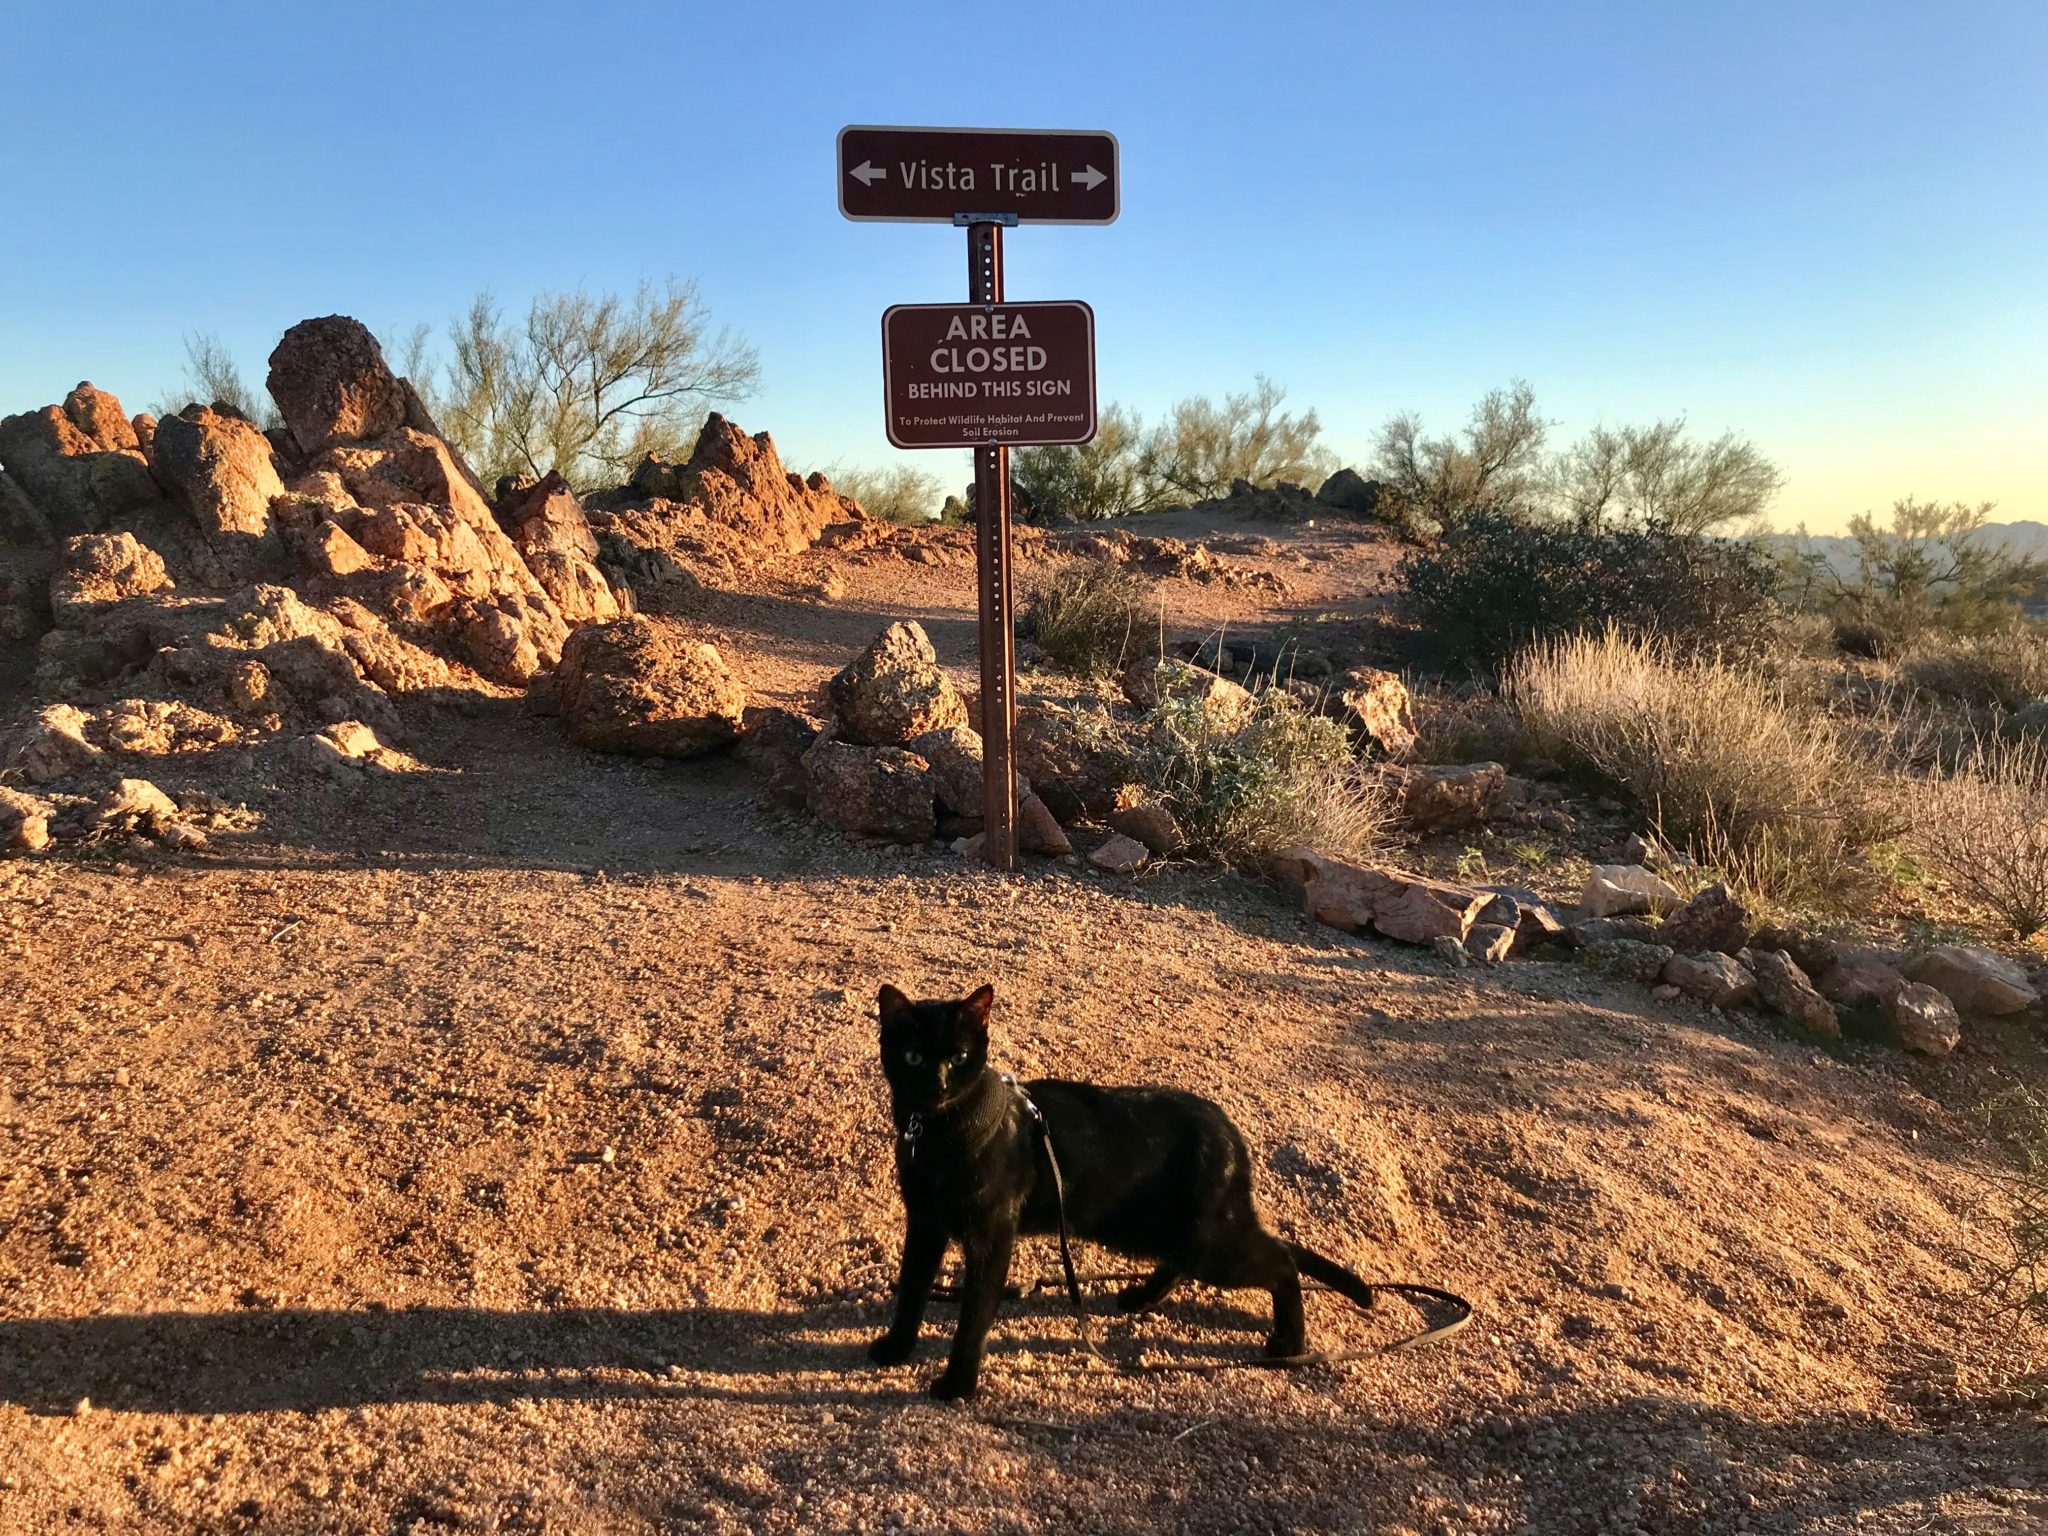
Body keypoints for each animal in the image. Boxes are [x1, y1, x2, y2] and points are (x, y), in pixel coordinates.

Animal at [868, 987, 1376, 1409]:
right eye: (913, 1056)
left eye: (959, 1058)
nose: (936, 1084)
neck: (935, 1137)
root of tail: (1230, 1131)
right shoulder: (925, 1223)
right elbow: (911, 1288)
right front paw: (896, 1348)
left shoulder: (991, 1235)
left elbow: (973, 1314)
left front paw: (958, 1384)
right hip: (1159, 1231)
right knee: (1207, 1260)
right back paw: (1141, 1297)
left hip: (1202, 1243)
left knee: (1282, 1262)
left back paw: (1290, 1342)